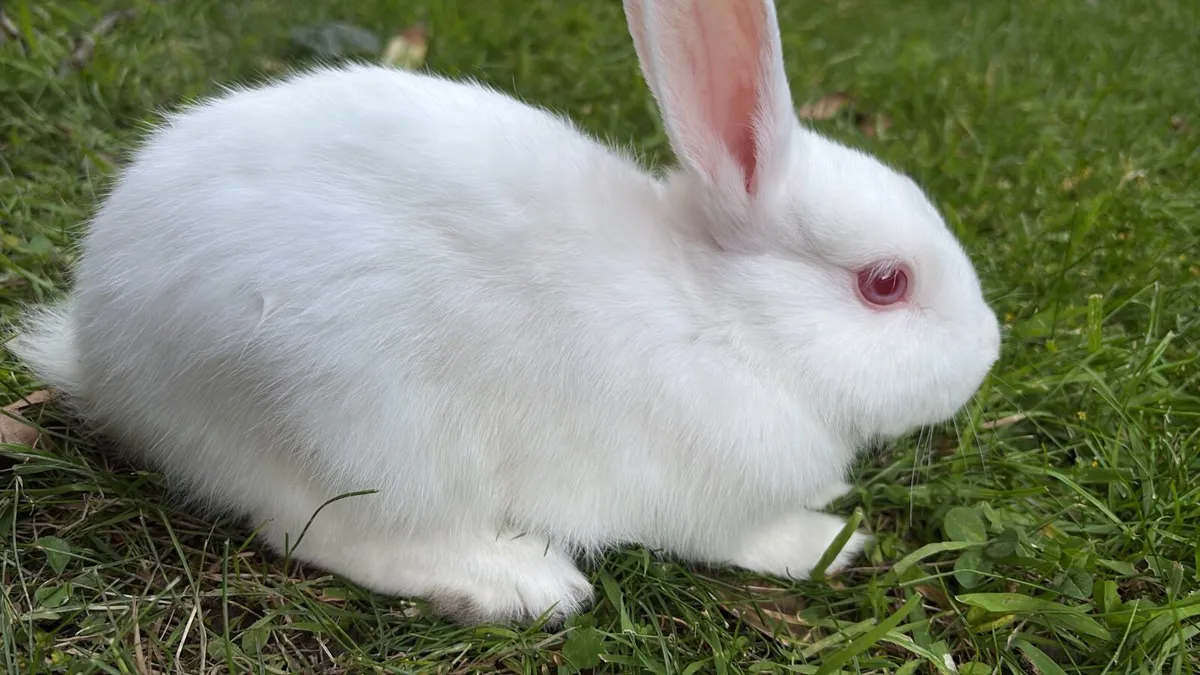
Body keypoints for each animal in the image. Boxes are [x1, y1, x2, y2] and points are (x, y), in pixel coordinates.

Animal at [10, 0, 1001, 626]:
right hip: (353, 423)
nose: (989, 348)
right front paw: (832, 537)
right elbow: (751, 537)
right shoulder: (710, 497)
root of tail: (102, 353)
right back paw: (518, 583)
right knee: (317, 529)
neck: (726, 318)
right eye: (885, 283)